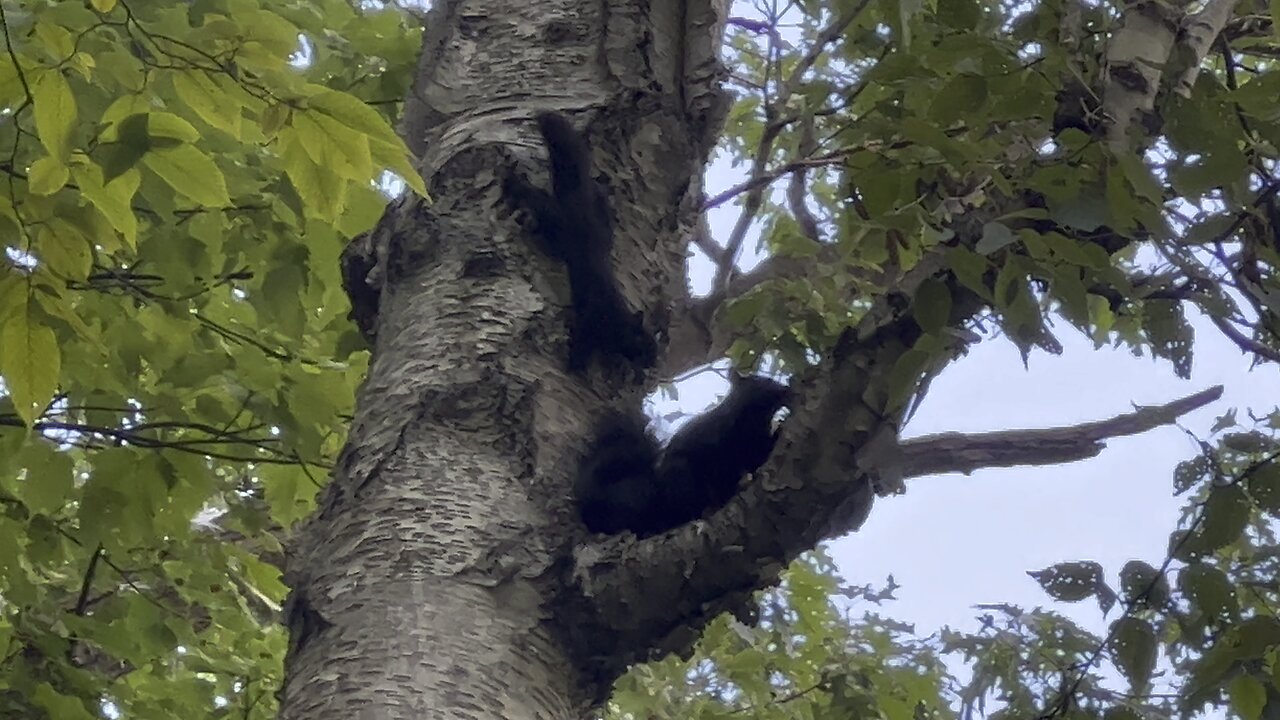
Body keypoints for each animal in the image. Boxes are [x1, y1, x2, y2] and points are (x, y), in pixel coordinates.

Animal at [501, 113, 655, 368]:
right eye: (644, 346)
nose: (651, 364)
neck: (618, 320)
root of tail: (579, 204)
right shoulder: (591, 321)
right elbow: (582, 343)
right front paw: (576, 366)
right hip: (557, 221)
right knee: (534, 198)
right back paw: (512, 181)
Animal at [573, 371, 788, 535]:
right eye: (763, 381)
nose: (786, 388)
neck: (753, 421)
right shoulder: (716, 439)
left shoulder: (756, 447)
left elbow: (761, 455)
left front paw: (780, 429)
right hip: (679, 477)